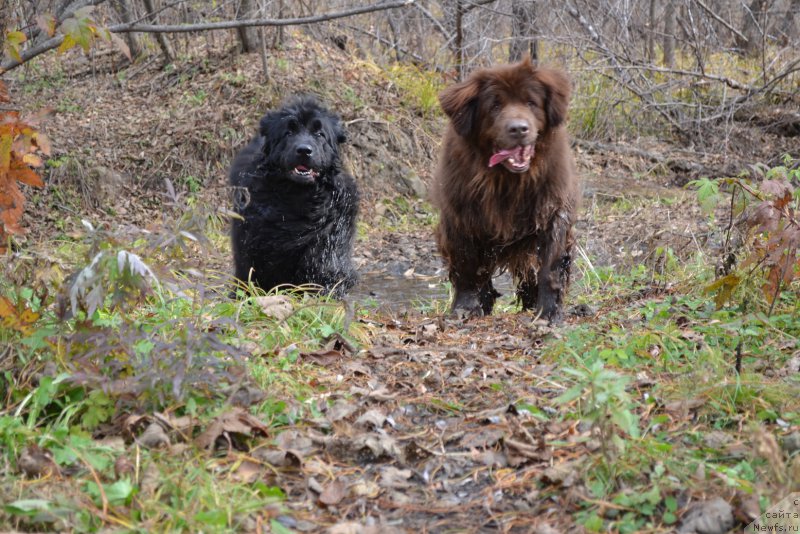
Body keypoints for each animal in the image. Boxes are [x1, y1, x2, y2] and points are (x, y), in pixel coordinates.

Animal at [230, 96, 358, 298]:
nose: (304, 150)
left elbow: (323, 265)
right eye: (288, 132)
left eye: (320, 134)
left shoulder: (329, 235)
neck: (299, 198)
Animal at [434, 60, 580, 324]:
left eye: (531, 102)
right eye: (495, 106)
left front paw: (549, 312)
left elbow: (550, 266)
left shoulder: (553, 209)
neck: (507, 181)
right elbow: (466, 264)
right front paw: (465, 308)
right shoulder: (460, 214)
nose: (519, 129)